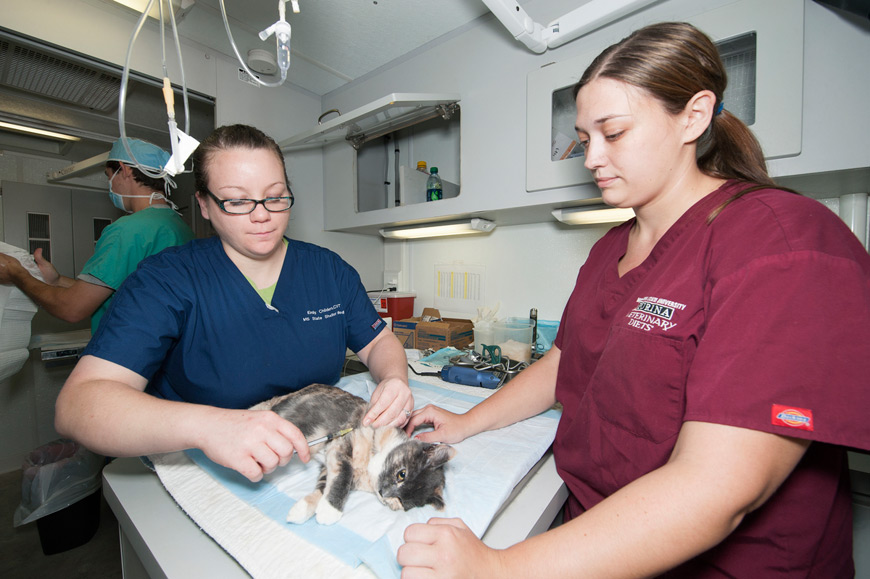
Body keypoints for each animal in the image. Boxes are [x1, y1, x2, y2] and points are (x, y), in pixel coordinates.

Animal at [250, 386, 456, 524]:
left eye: (402, 501)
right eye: (402, 474)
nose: (384, 493)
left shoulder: (329, 462)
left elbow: (324, 485)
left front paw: (304, 509)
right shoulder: (342, 443)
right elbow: (344, 475)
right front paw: (330, 511)